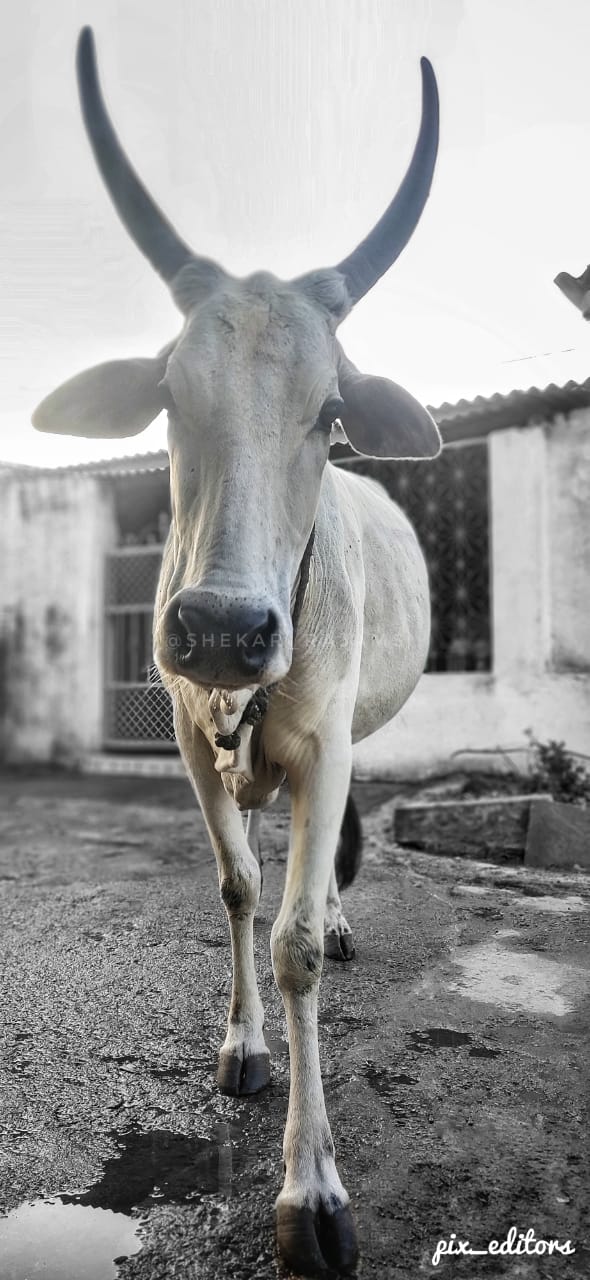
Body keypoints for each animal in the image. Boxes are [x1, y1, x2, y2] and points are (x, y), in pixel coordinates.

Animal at [33, 28, 440, 1277]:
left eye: (330, 411)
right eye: (170, 394)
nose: (221, 628)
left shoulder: (323, 747)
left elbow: (296, 939)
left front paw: (310, 1186)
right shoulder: (187, 737)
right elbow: (237, 889)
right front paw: (243, 1047)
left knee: (331, 874)